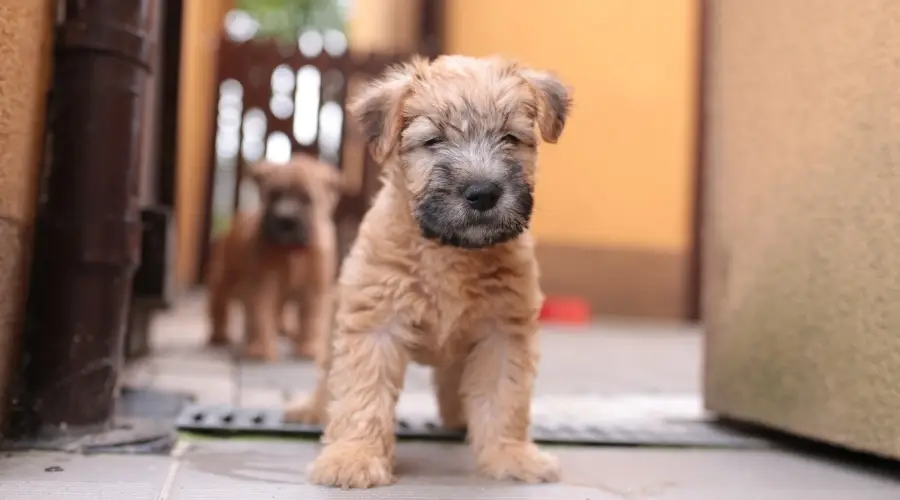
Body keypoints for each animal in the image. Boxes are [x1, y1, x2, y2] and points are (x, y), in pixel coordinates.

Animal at [284, 54, 572, 488]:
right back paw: (310, 409)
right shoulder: (375, 325)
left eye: (510, 138)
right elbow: (361, 395)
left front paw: (510, 455)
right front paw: (354, 457)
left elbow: (505, 397)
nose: (483, 193)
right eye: (433, 140)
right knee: (327, 379)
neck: (450, 250)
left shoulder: (503, 332)